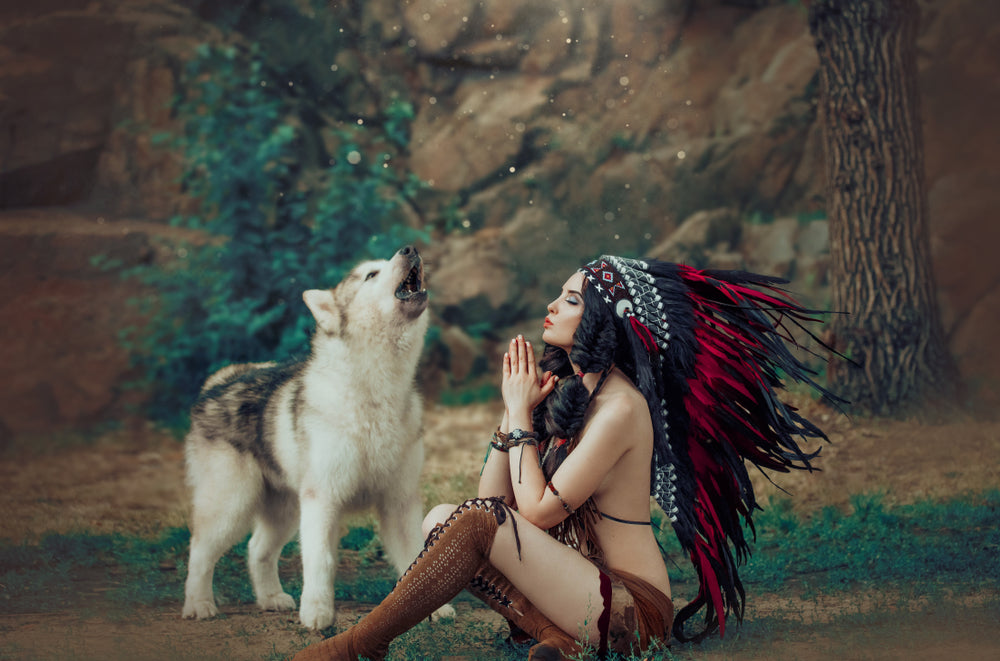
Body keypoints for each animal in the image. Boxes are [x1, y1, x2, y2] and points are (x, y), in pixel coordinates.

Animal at [181, 244, 446, 628]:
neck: (374, 394)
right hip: (232, 507)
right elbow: (321, 561)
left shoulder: (399, 502)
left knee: (256, 549)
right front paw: (318, 612)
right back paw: (198, 604)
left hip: (285, 512)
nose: (410, 248)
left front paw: (435, 608)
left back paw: (271, 598)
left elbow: (416, 557)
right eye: (371, 274)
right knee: (200, 551)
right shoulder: (323, 500)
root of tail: (218, 381)